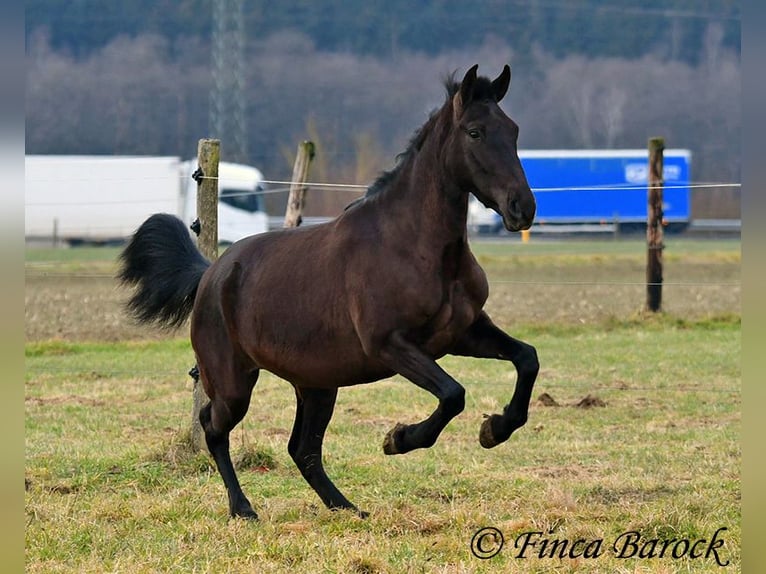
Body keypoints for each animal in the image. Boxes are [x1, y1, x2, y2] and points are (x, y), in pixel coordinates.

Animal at [118, 64, 540, 520]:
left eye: (514, 130)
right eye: (475, 132)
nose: (522, 208)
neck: (415, 246)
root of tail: (210, 273)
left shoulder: (462, 333)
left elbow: (526, 359)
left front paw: (495, 429)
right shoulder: (390, 345)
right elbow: (452, 394)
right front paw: (398, 439)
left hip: (317, 384)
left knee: (302, 449)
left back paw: (347, 508)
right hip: (234, 381)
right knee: (214, 426)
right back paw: (243, 508)